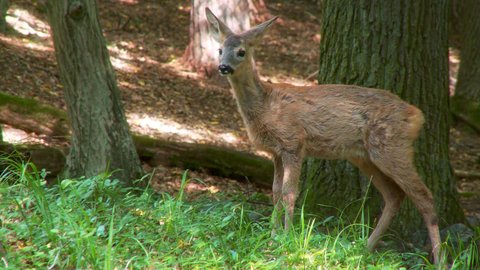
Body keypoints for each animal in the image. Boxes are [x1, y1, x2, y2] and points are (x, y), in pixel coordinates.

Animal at [205, 7, 442, 264]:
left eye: (241, 51)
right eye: (220, 50)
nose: (223, 67)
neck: (266, 105)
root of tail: (417, 115)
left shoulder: (294, 143)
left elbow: (289, 192)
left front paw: (286, 239)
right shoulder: (276, 152)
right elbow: (275, 192)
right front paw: (272, 235)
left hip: (392, 147)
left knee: (424, 196)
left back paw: (440, 259)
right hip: (365, 156)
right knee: (394, 195)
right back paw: (364, 249)